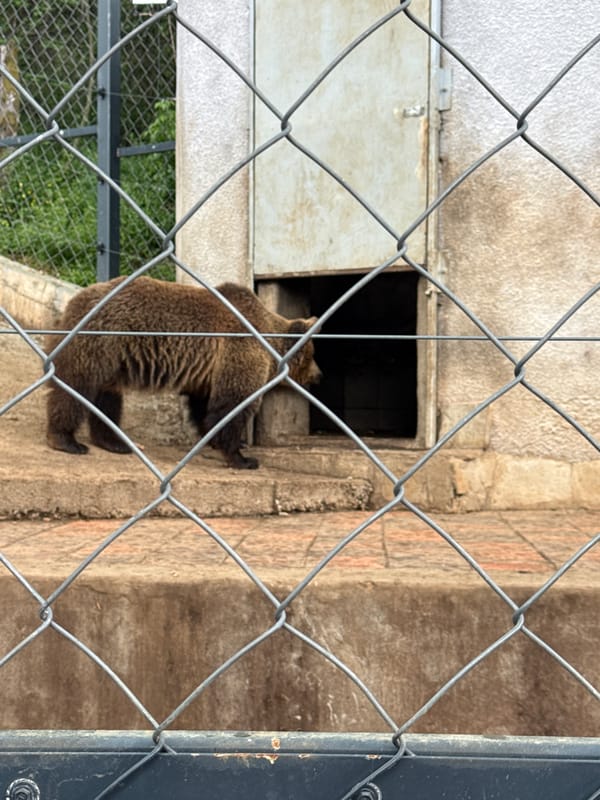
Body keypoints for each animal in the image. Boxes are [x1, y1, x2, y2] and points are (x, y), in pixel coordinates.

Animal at [45, 276, 321, 469]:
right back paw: (66, 440)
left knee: (107, 397)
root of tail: (75, 301)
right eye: (313, 355)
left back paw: (113, 442)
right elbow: (232, 404)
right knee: (75, 388)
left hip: (111, 359)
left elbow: (204, 405)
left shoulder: (207, 373)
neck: (269, 340)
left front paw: (217, 440)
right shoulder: (241, 348)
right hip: (99, 341)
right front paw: (242, 457)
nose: (319, 375)